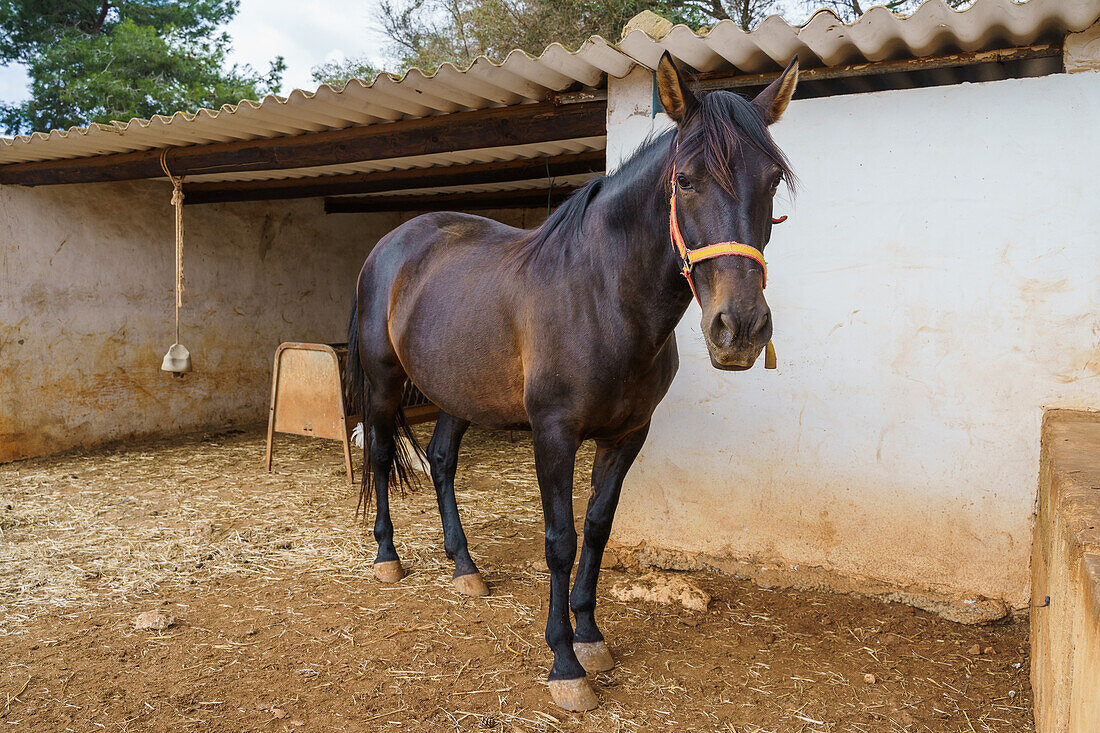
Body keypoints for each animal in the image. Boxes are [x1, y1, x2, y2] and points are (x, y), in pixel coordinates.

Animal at [345, 52, 800, 708]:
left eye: (770, 182)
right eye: (685, 180)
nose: (739, 328)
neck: (603, 297)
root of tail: (391, 243)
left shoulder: (628, 436)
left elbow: (598, 529)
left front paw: (590, 636)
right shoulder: (553, 435)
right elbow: (560, 540)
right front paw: (564, 662)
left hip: (459, 390)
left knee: (441, 460)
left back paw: (466, 568)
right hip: (384, 383)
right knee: (381, 455)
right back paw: (388, 557)